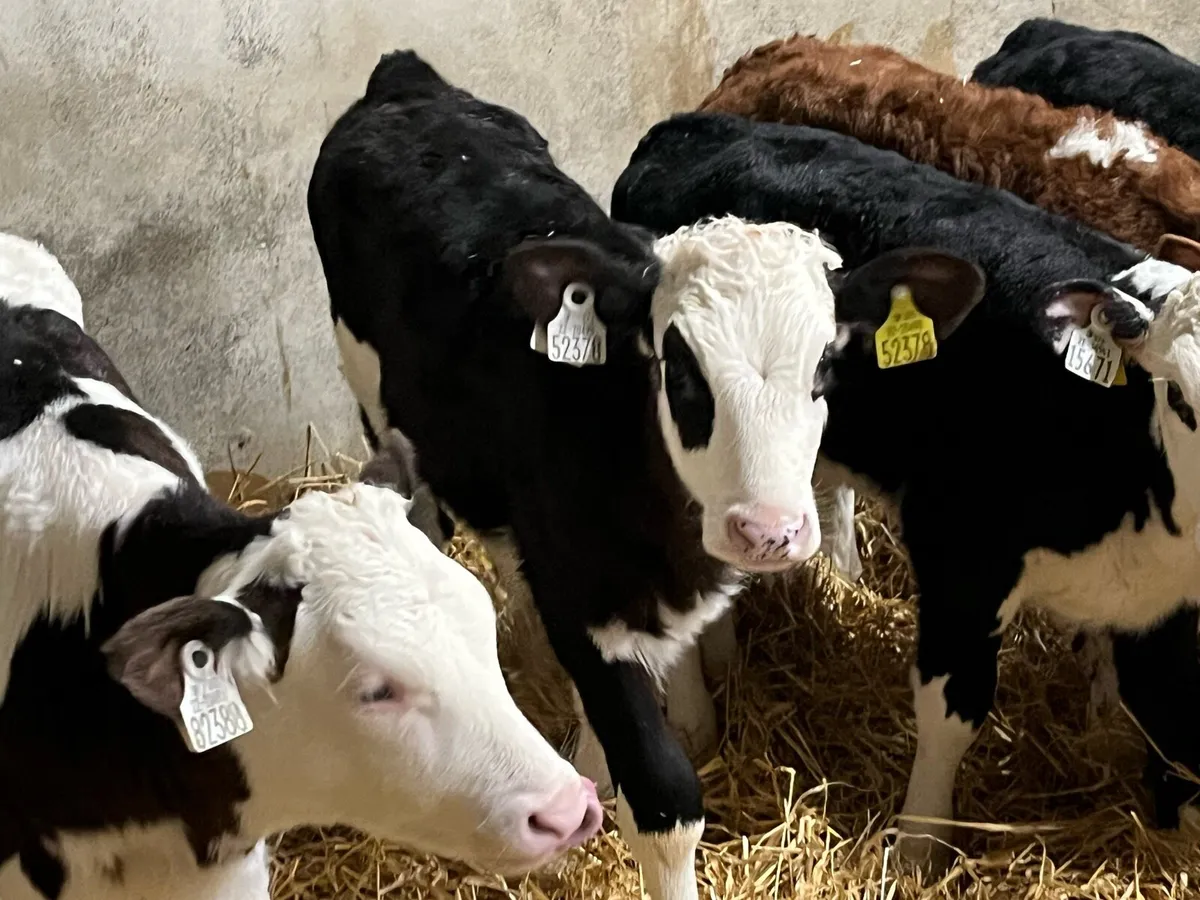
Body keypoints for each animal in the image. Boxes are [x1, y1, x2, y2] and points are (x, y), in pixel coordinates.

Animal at [610, 111, 1200, 869]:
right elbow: (952, 714)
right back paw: (696, 721)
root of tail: (688, 123)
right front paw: (921, 845)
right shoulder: (960, 556)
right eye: (1182, 395)